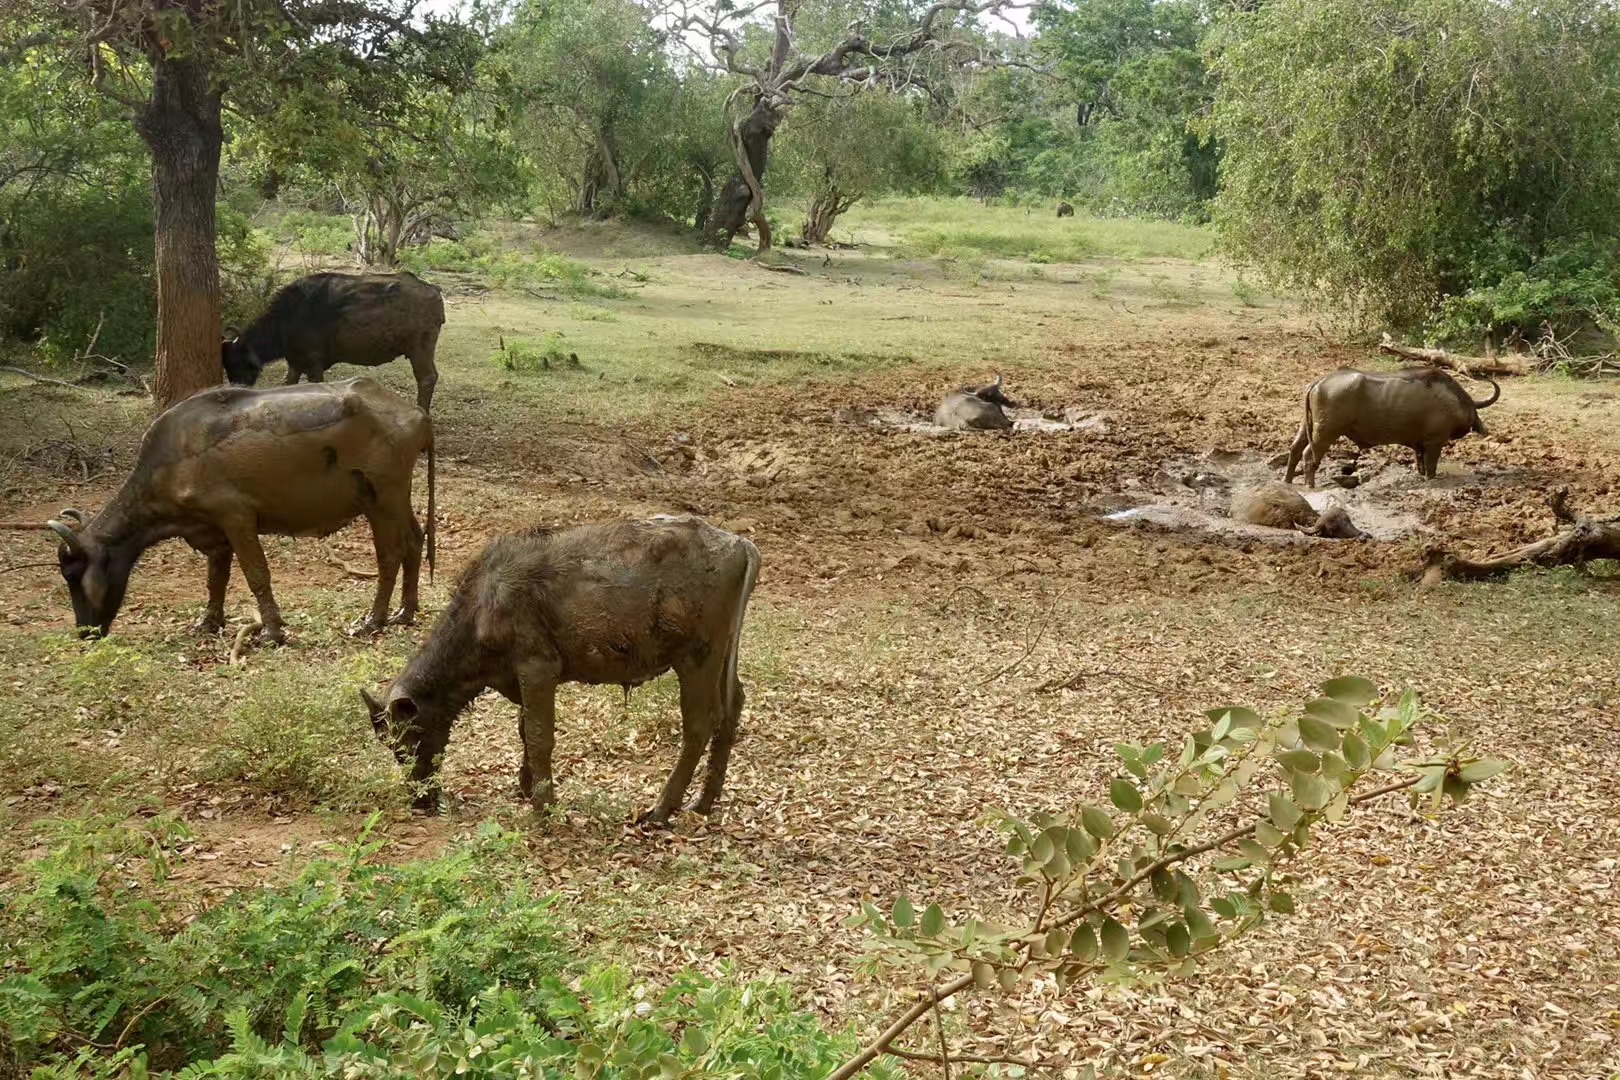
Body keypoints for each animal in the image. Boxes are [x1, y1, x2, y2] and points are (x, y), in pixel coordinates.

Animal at [14, 382, 430, 641]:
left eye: (72, 574)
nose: (84, 633)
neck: (173, 461)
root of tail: (414, 413)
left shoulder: (237, 519)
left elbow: (256, 574)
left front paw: (272, 631)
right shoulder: (212, 534)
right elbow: (217, 580)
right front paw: (208, 623)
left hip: (381, 501)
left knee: (390, 554)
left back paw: (373, 621)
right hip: (398, 500)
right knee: (415, 541)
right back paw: (405, 612)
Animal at [221, 272, 447, 411]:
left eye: (237, 362)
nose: (235, 389)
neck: (288, 317)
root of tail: (433, 290)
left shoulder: (314, 364)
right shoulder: (295, 363)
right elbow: (288, 385)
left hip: (419, 348)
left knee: (426, 378)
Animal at [364, 511, 754, 822]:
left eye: (404, 744)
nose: (420, 801)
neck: (482, 611)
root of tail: (741, 544)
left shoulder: (538, 665)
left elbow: (540, 736)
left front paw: (543, 807)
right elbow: (524, 730)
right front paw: (525, 788)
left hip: (697, 656)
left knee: (700, 723)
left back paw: (661, 809)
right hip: (724, 653)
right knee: (733, 705)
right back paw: (703, 801)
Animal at [1283, 367, 1496, 485]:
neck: (1452, 400)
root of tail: (1319, 382)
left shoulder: (1419, 445)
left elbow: (1420, 465)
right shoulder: (1434, 443)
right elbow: (1431, 468)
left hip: (1306, 427)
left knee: (1295, 449)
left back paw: (1287, 480)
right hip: (1325, 433)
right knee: (1308, 456)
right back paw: (1309, 485)